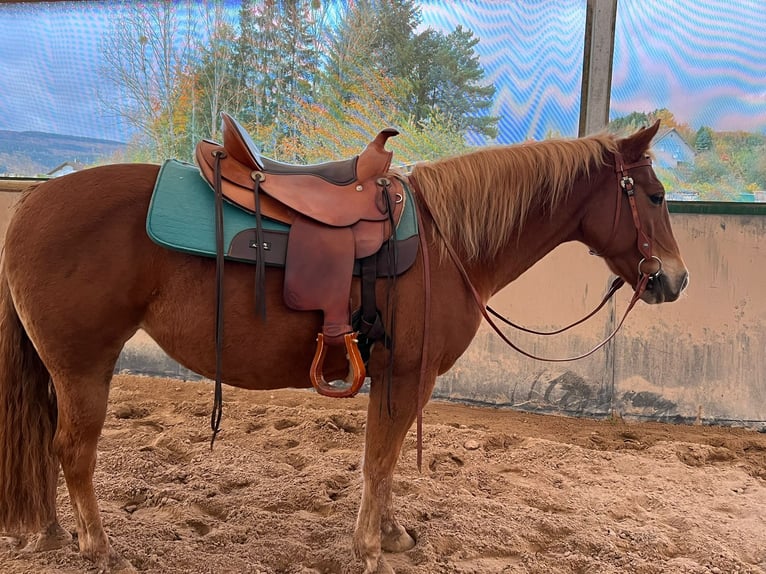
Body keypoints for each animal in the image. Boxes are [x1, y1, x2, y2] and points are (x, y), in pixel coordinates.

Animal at [0, 120, 688, 573]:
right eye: (654, 196)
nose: (674, 281)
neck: (446, 245)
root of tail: (34, 199)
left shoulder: (393, 377)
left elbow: (380, 461)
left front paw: (389, 534)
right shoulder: (408, 375)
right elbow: (381, 461)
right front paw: (370, 550)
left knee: (47, 443)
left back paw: (53, 534)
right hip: (84, 364)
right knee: (72, 451)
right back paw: (98, 548)